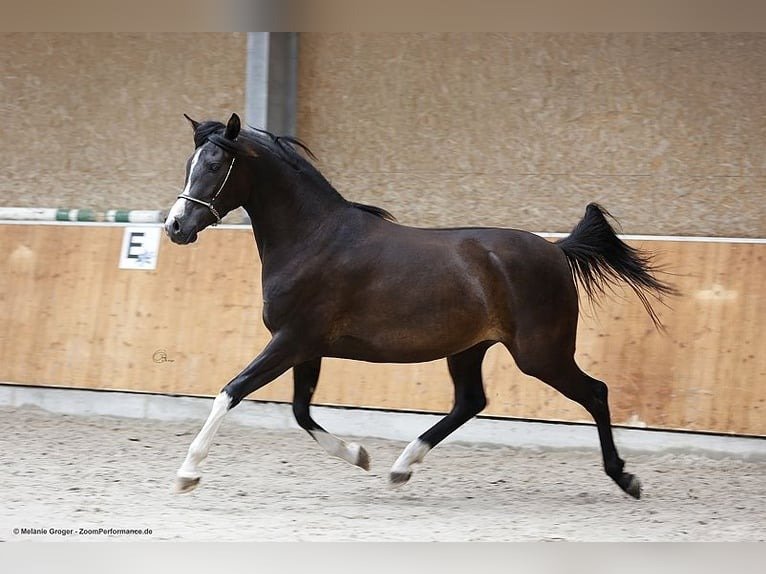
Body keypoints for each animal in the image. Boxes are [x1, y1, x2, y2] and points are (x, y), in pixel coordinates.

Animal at [164, 113, 675, 499]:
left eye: (214, 165)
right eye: (189, 163)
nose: (175, 227)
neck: (314, 237)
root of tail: (555, 250)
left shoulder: (291, 341)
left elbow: (231, 391)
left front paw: (187, 474)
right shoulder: (306, 348)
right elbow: (300, 412)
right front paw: (360, 456)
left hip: (540, 354)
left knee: (596, 393)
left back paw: (625, 478)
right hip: (469, 349)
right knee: (470, 402)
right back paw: (401, 467)